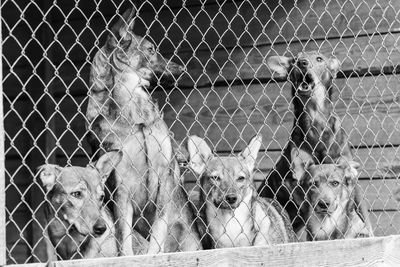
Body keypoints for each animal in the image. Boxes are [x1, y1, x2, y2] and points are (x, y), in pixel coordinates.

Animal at [86, 7, 202, 255]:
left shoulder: (164, 175)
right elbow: (124, 238)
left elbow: (159, 228)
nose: (183, 69)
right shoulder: (120, 189)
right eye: (150, 49)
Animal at [256, 50, 372, 237]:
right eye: (295, 60)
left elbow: (364, 217)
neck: (317, 119)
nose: (302, 63)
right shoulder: (295, 182)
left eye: (319, 59)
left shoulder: (350, 175)